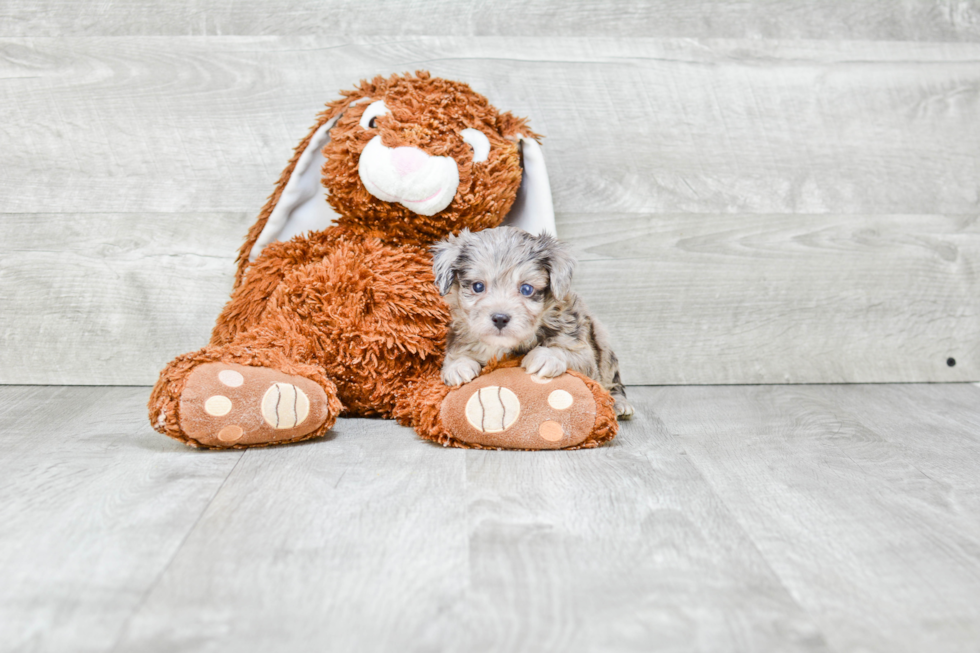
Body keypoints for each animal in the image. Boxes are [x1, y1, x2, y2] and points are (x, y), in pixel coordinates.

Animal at [430, 225, 632, 418]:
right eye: (478, 286)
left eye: (526, 289)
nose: (500, 318)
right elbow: (455, 356)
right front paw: (458, 366)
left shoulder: (583, 352)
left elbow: (565, 352)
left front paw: (546, 357)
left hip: (604, 349)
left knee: (614, 382)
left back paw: (620, 403)